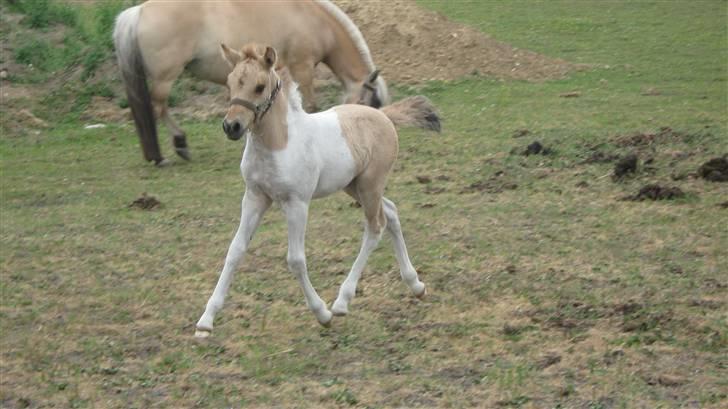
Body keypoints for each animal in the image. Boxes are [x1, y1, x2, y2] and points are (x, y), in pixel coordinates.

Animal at [113, 0, 390, 166]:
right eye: (373, 104)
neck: (312, 19)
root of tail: (138, 11)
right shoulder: (302, 67)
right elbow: (310, 106)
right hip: (165, 78)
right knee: (158, 107)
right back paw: (173, 148)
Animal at [193, 43, 438, 338]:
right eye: (230, 83)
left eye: (260, 86)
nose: (232, 127)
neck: (278, 144)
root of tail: (383, 114)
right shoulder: (254, 197)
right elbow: (235, 250)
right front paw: (206, 321)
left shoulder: (297, 203)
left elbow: (296, 260)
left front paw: (322, 314)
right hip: (353, 186)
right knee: (390, 212)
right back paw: (416, 285)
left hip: (370, 185)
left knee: (375, 226)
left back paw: (342, 302)